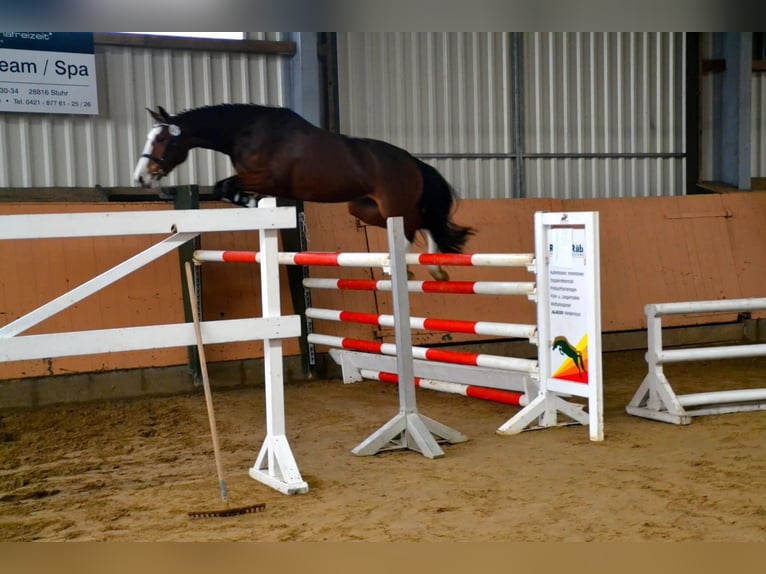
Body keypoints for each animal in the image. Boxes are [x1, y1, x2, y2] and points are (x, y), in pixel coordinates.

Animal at [135, 106, 476, 284]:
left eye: (161, 139)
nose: (141, 177)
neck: (247, 131)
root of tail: (413, 162)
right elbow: (224, 188)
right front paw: (252, 203)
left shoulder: (268, 178)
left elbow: (224, 186)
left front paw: (249, 201)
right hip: (364, 208)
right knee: (422, 222)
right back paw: (432, 267)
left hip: (392, 204)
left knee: (414, 226)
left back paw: (403, 266)